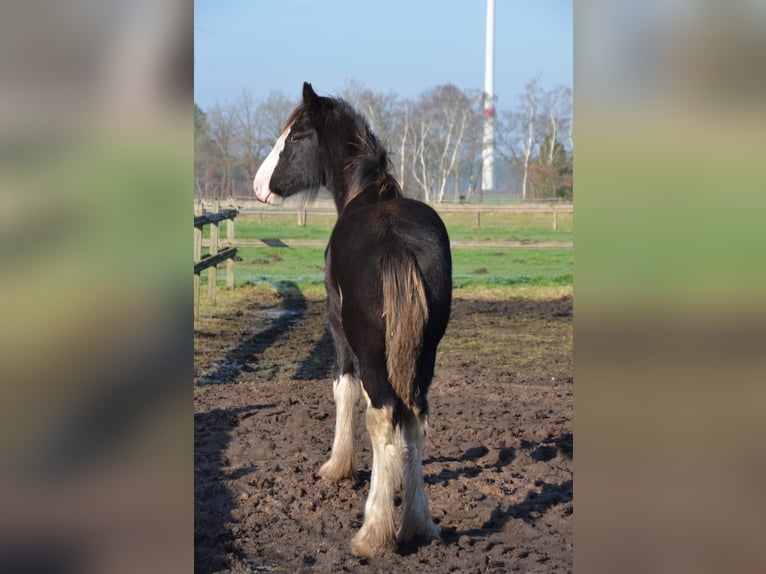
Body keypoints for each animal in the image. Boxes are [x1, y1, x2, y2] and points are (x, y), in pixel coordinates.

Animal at [255, 82, 452, 560]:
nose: (258, 185)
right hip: (425, 355)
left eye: (295, 136)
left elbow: (344, 388)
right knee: (414, 418)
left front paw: (337, 466)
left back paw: (374, 532)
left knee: (382, 415)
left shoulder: (336, 324)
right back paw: (417, 524)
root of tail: (396, 243)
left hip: (371, 349)